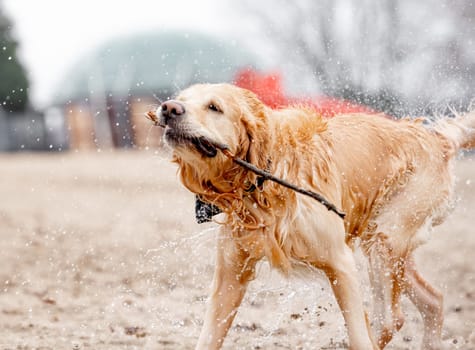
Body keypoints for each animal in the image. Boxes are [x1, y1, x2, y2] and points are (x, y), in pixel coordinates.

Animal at [154, 83, 474, 348]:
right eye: (181, 98)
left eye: (214, 107)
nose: (169, 108)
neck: (263, 176)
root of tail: (437, 140)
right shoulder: (231, 274)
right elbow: (209, 335)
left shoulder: (339, 262)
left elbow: (359, 333)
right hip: (387, 243)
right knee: (433, 300)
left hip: (385, 239)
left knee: (389, 320)